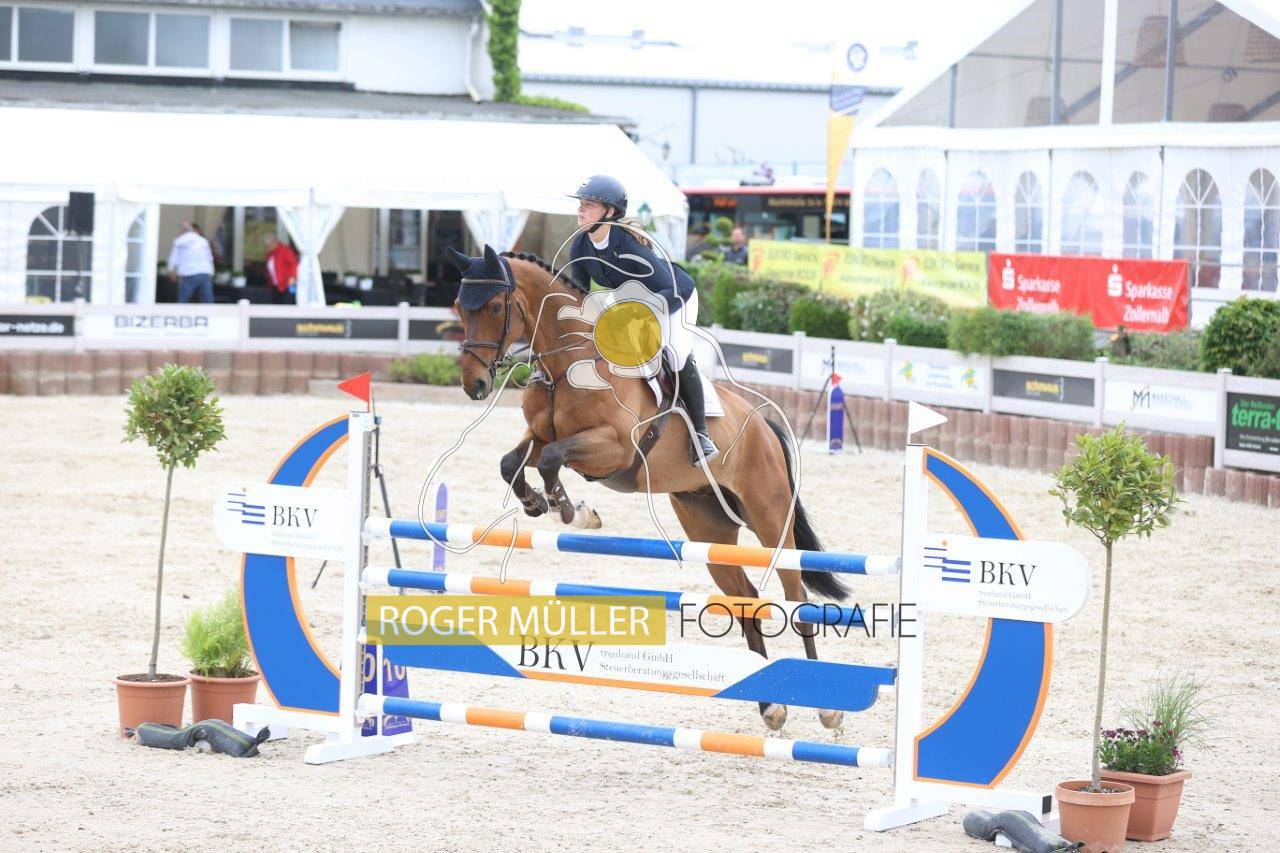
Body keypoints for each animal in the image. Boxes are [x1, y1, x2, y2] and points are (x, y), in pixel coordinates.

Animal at [446, 244, 850, 732]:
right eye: (458, 307)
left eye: (493, 307)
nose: (475, 384)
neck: (568, 363)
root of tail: (765, 425)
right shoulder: (541, 433)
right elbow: (515, 462)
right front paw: (541, 504)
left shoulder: (614, 448)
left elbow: (551, 459)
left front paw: (572, 511)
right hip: (708, 529)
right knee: (746, 598)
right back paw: (771, 707)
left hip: (770, 519)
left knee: (797, 598)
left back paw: (826, 709)